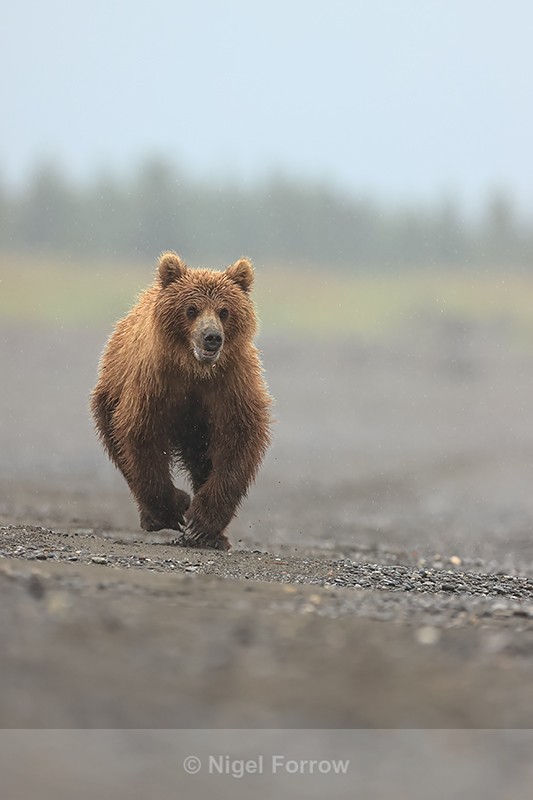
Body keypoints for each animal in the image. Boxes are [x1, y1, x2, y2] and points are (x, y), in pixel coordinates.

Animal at [90, 252, 272, 550]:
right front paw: (174, 508)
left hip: (198, 429)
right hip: (109, 396)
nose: (212, 337)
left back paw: (215, 537)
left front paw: (201, 525)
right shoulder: (155, 384)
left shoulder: (230, 385)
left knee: (202, 459)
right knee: (119, 447)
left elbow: (237, 441)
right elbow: (142, 436)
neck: (194, 370)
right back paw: (150, 517)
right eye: (191, 309)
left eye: (224, 311)